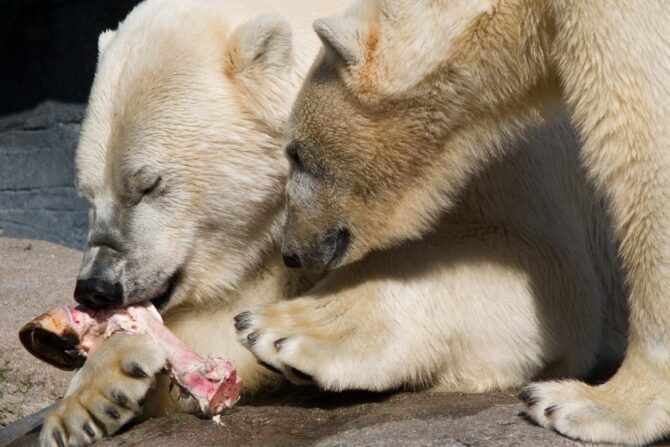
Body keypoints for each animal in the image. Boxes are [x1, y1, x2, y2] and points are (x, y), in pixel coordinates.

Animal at [253, 0, 670, 444]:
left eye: (296, 153)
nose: (292, 252)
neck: (523, 12)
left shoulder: (617, 19)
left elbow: (644, 152)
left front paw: (589, 404)